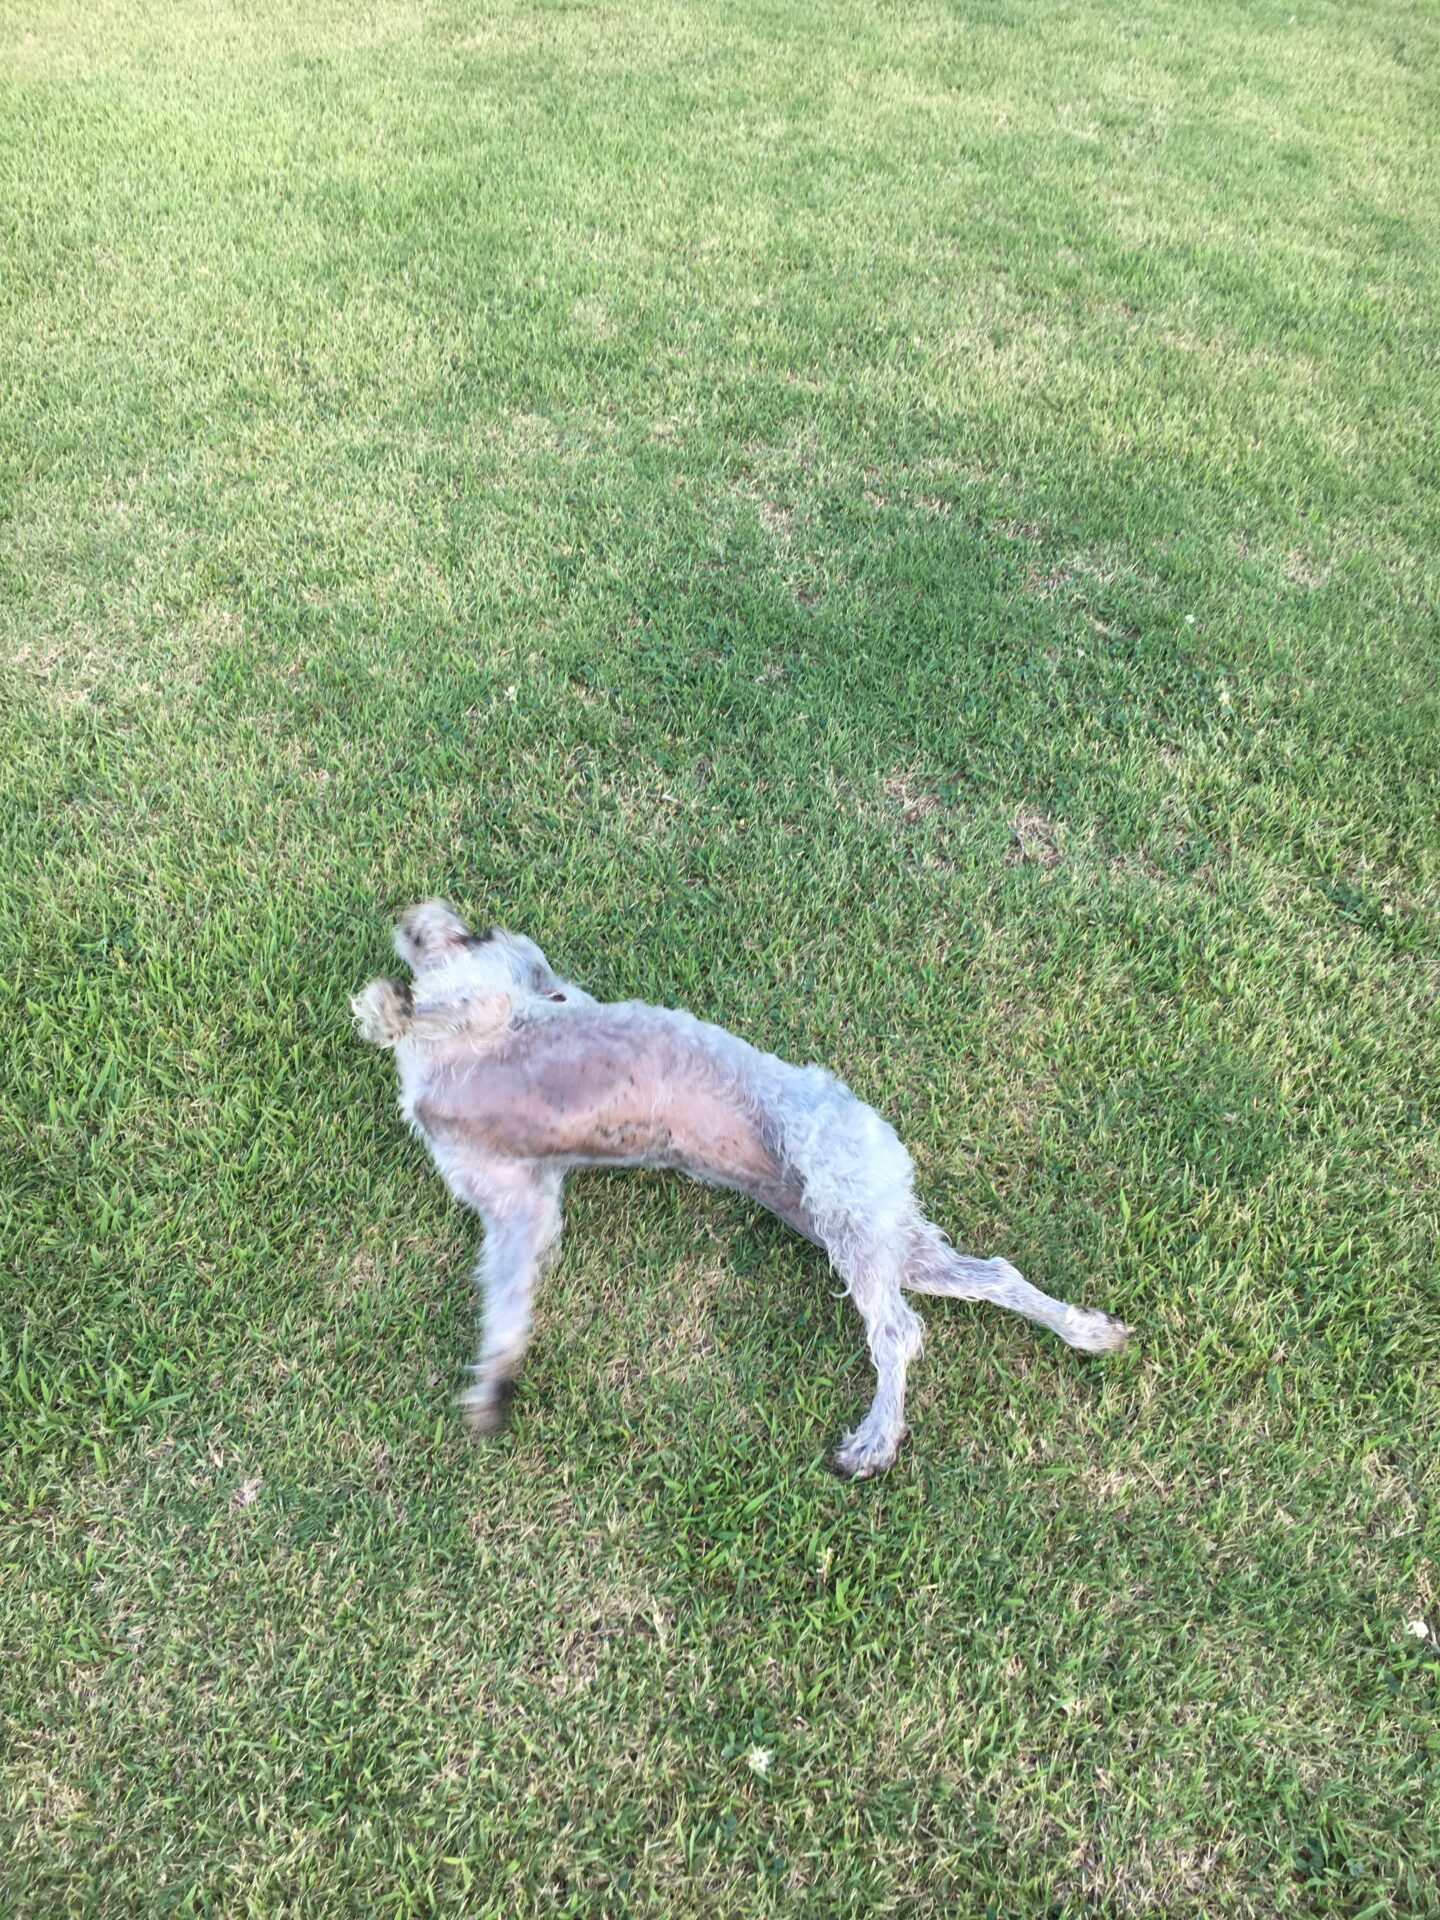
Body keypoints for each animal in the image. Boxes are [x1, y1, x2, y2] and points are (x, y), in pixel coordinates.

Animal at [353, 901, 1132, 1478]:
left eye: (475, 929)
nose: (413, 915)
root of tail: (877, 1129)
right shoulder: (518, 1202)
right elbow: (508, 1303)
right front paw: (495, 1381)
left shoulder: (494, 1016)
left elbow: (443, 1008)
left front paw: (385, 1006)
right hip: (884, 1237)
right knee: (993, 1274)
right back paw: (1086, 1329)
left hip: (846, 1209)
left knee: (898, 1331)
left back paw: (876, 1440)